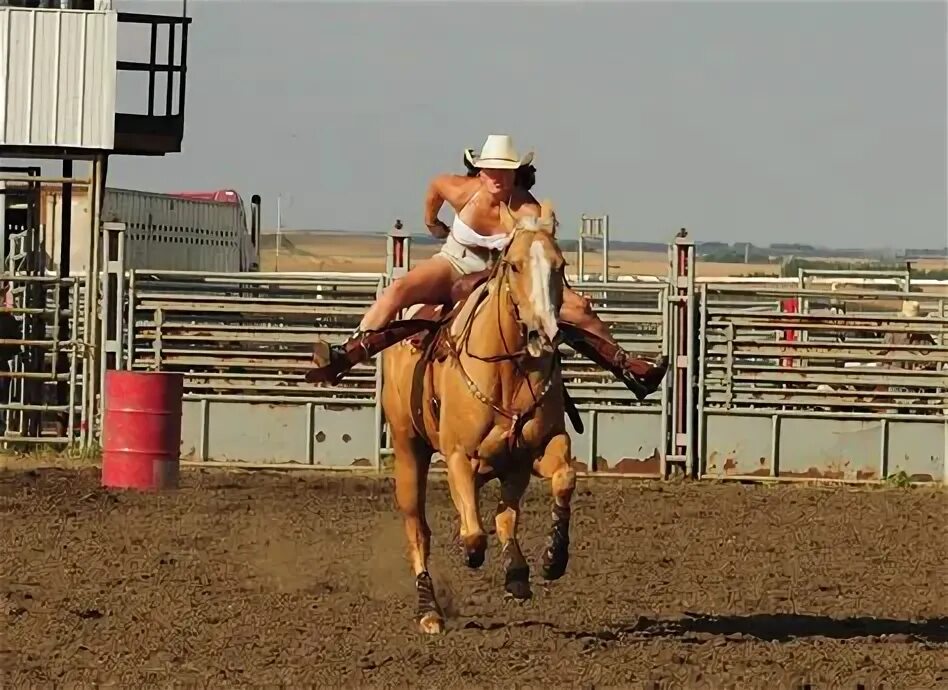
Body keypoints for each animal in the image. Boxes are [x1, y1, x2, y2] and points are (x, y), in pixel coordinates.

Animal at [382, 200, 572, 636]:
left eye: (560, 266)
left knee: (505, 515)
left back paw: (517, 575)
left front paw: (553, 558)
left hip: (511, 466)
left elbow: (564, 479)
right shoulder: (458, 457)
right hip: (407, 449)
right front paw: (472, 554)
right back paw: (430, 611)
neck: (509, 371)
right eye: (515, 265)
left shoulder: (539, 447)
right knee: (419, 530)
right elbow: (472, 535)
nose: (545, 334)